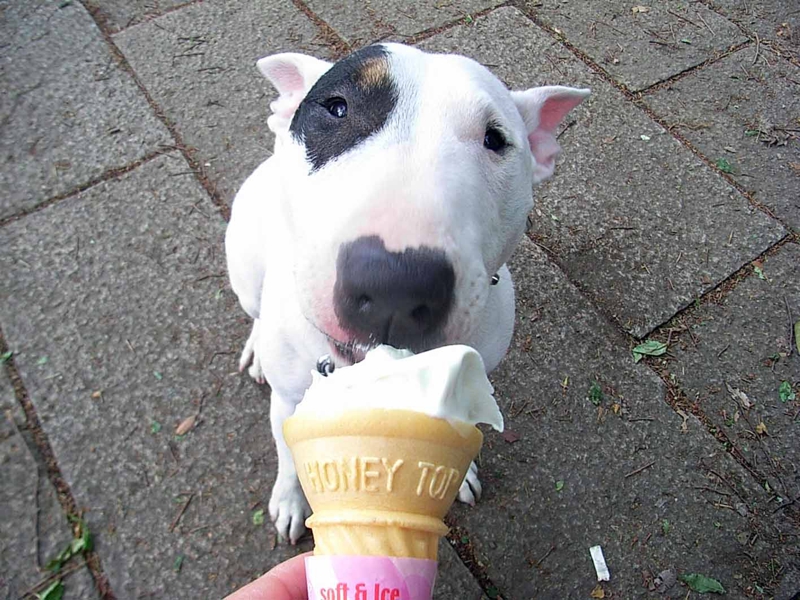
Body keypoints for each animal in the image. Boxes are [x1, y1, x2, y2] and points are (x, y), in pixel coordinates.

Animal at [225, 43, 589, 543]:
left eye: (495, 139)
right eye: (336, 108)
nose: (393, 285)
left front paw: (460, 476)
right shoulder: (290, 401)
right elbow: (287, 451)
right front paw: (289, 500)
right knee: (256, 311)